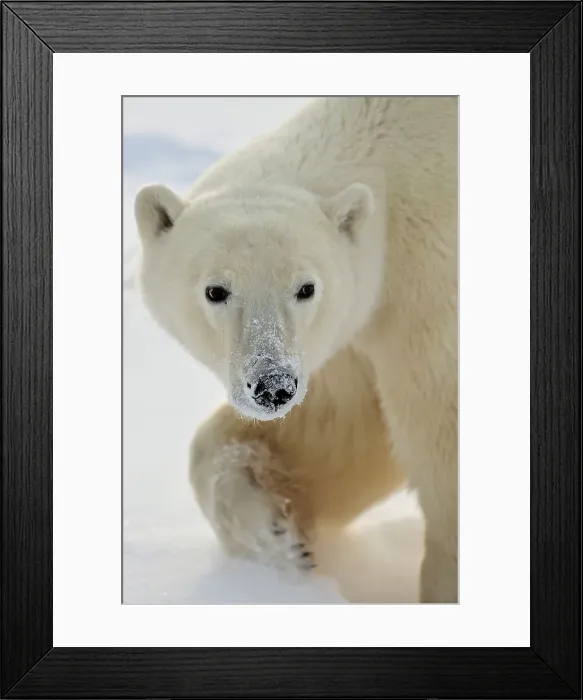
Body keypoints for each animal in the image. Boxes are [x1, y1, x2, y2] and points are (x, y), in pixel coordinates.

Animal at [134, 97, 458, 603]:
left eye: (306, 288)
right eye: (216, 291)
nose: (273, 386)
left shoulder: (429, 293)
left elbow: (438, 439)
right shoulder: (357, 325)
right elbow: (344, 430)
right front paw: (277, 535)